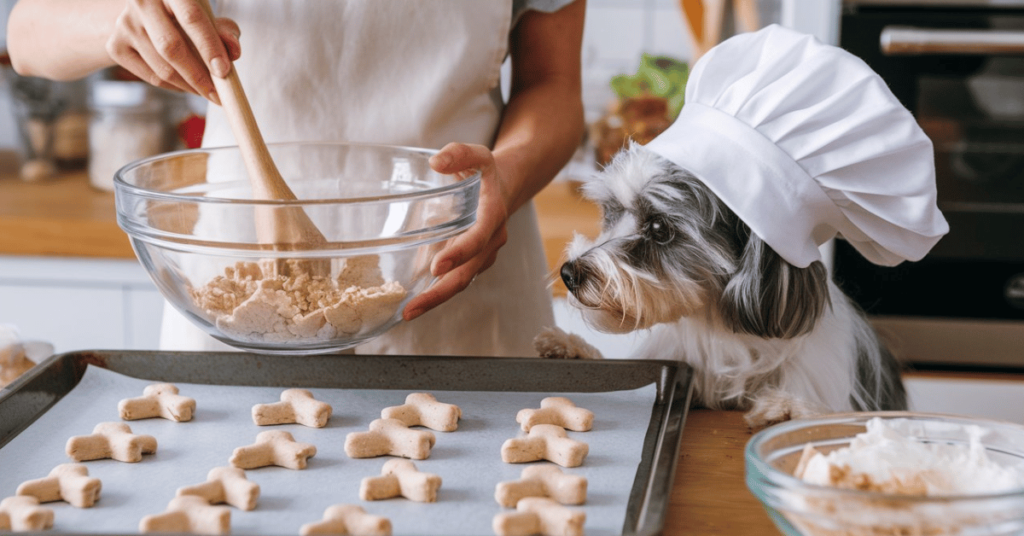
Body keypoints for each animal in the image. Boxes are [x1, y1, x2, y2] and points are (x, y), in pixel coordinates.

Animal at [532, 142, 909, 428]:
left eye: (659, 229)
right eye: (612, 213)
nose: (569, 273)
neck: (718, 327)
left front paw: (786, 408)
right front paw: (570, 346)